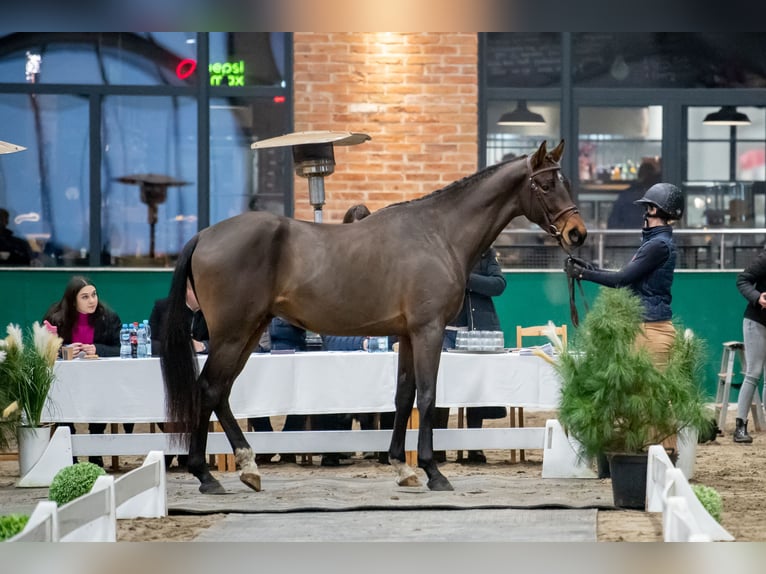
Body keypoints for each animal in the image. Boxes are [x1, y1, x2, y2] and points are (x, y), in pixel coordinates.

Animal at [160, 139, 587, 494]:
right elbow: (427, 396)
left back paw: (244, 468)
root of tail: (204, 236)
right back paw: (208, 475)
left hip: (248, 332)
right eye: (545, 184)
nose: (577, 233)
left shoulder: (408, 335)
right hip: (233, 333)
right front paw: (434, 472)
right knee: (209, 388)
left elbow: (403, 396)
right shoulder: (428, 330)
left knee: (220, 391)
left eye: (564, 181)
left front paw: (403, 467)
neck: (438, 233)